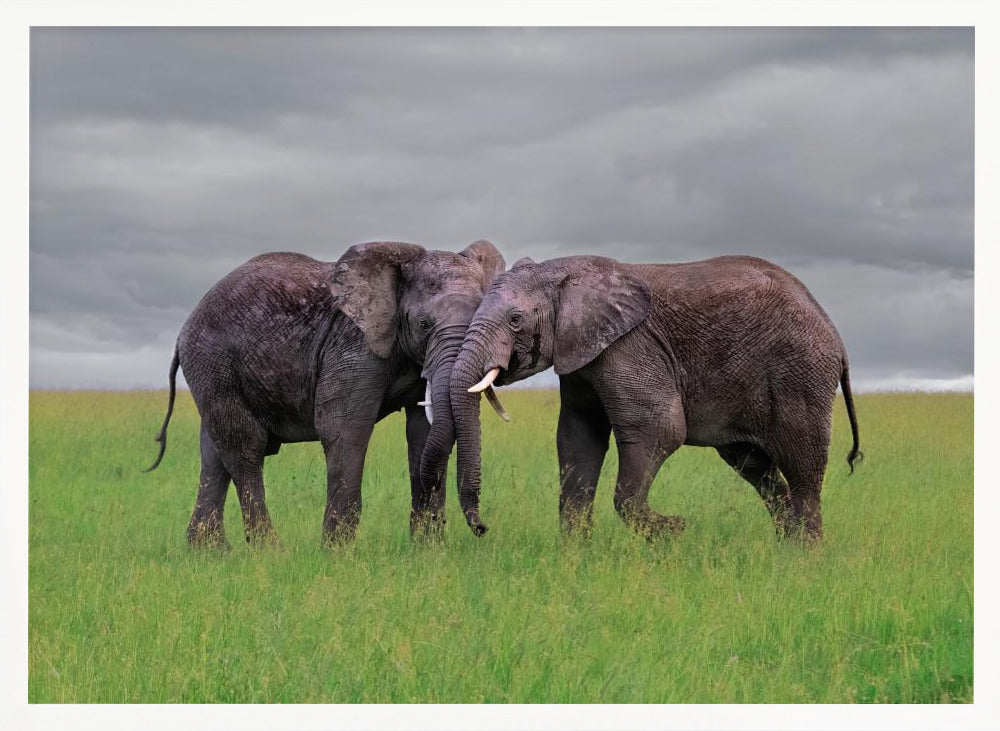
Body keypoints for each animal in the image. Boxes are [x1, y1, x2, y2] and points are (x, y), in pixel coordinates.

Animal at [145, 240, 506, 547]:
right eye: (424, 325)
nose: (481, 528)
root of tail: (184, 329)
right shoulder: (353, 346)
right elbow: (344, 429)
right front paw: (337, 553)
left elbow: (423, 433)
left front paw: (427, 552)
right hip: (213, 361)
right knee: (244, 447)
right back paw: (269, 552)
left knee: (213, 453)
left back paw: (211, 553)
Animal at [447, 254, 862, 541]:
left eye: (515, 320)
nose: (483, 528)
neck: (568, 271)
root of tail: (835, 333)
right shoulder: (582, 355)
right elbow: (578, 439)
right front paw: (575, 558)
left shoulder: (629, 346)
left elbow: (658, 429)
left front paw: (675, 531)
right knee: (757, 469)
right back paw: (785, 549)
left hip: (800, 373)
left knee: (802, 468)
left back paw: (805, 558)